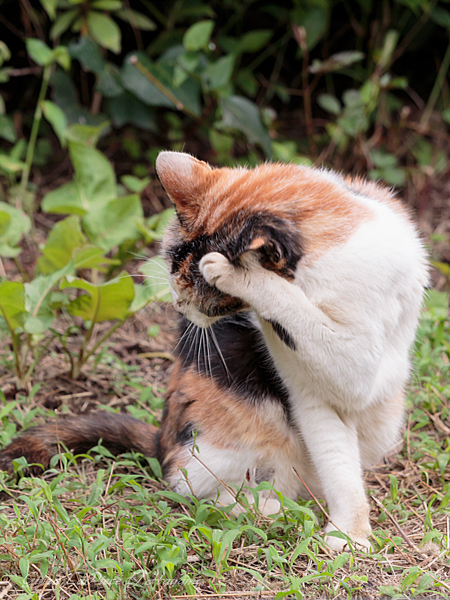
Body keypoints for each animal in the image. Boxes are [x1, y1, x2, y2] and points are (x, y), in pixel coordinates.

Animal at [0, 152, 428, 552]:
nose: (179, 305)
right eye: (174, 275)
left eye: (201, 290)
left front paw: (350, 535)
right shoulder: (311, 389)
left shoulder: (358, 364)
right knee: (199, 488)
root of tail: (161, 439)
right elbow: (335, 451)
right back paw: (264, 508)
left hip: (385, 421)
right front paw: (349, 535)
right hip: (232, 435)